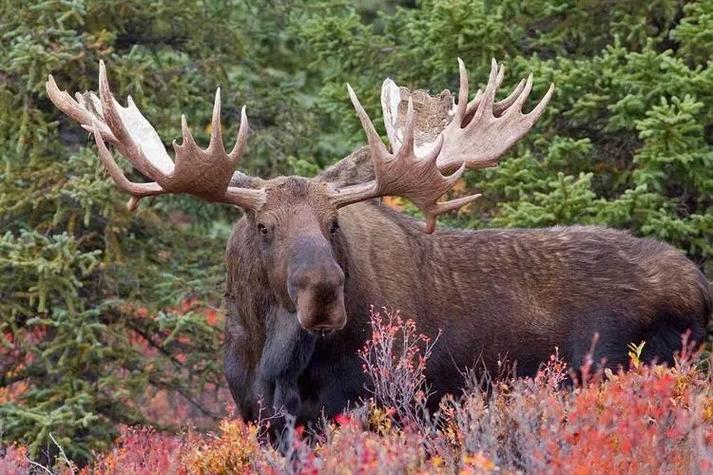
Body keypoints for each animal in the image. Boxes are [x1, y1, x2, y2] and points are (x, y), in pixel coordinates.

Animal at [47, 58, 708, 424]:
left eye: (333, 225)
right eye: (263, 228)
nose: (322, 291)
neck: (272, 360)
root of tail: (700, 284)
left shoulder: (382, 406)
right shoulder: (259, 419)